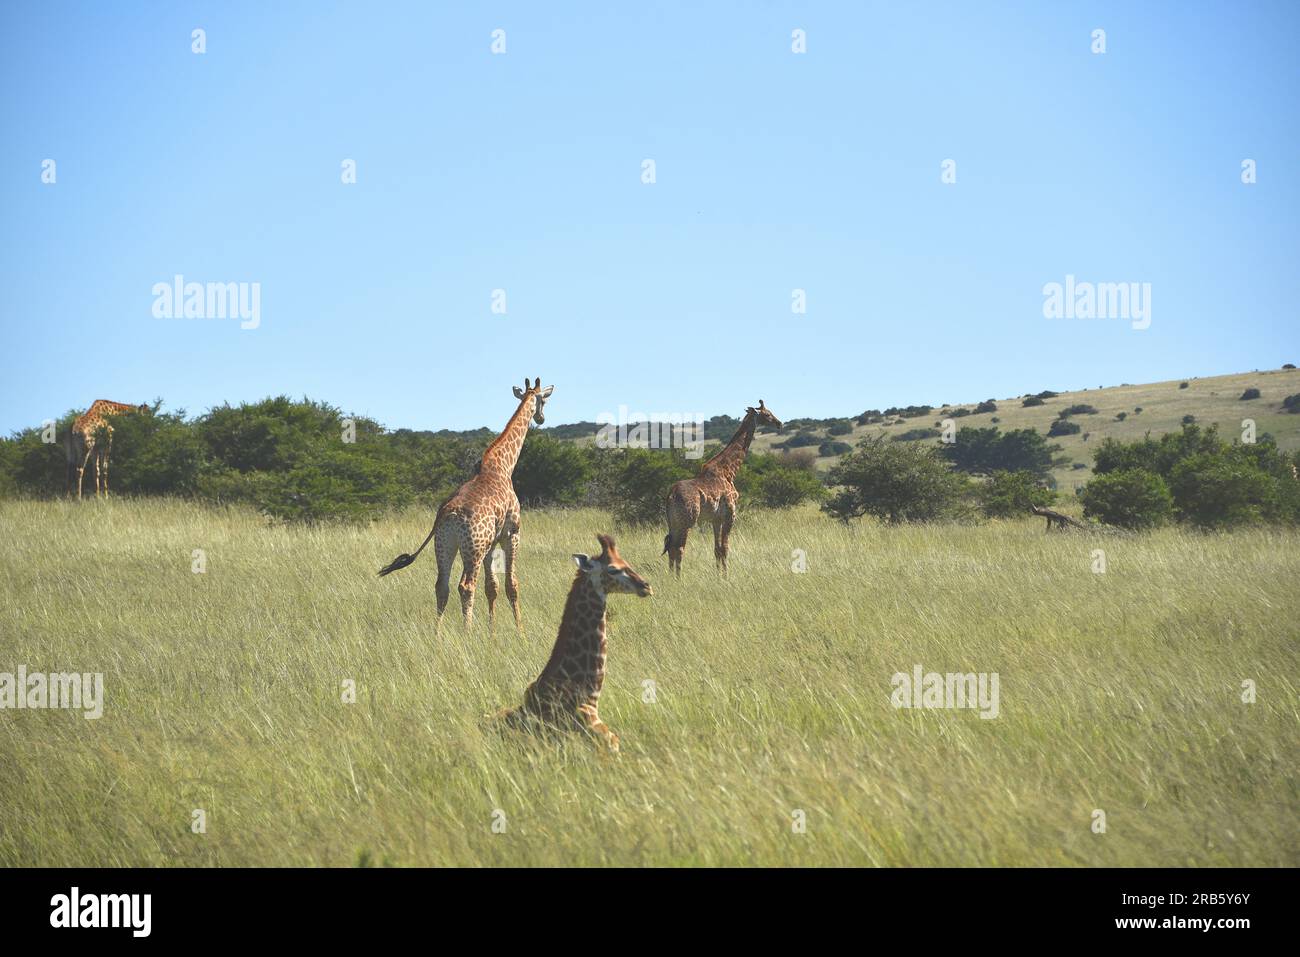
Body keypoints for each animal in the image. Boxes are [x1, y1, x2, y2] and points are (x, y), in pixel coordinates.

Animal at [379, 374, 556, 634]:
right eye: (544, 400)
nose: (541, 419)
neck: (503, 466)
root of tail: (447, 515)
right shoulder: (512, 533)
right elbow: (511, 585)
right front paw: (521, 632)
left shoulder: (491, 543)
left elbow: (491, 587)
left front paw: (492, 633)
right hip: (473, 549)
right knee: (465, 586)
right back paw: (467, 633)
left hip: (445, 545)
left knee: (442, 586)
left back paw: (438, 635)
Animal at [660, 397, 780, 572]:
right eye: (767, 414)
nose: (780, 423)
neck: (729, 470)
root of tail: (671, 495)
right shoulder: (730, 514)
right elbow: (725, 548)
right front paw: (726, 576)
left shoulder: (715, 519)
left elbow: (717, 549)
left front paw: (719, 575)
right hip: (687, 521)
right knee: (679, 548)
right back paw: (678, 577)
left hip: (673, 522)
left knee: (670, 547)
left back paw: (670, 576)